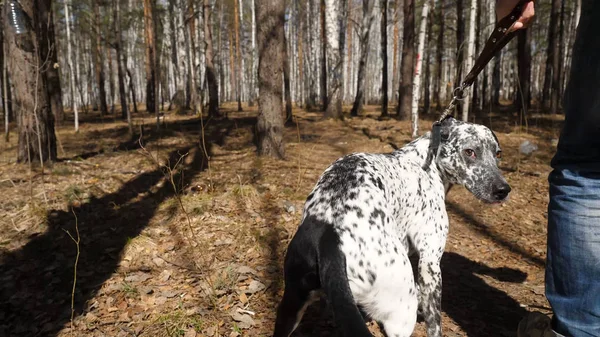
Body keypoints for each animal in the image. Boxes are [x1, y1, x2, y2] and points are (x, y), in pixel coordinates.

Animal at [272, 116, 510, 336]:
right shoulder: (430, 263)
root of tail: (329, 233)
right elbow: (435, 322)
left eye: (498, 154)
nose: (503, 190)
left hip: (291, 306)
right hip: (401, 313)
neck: (426, 161)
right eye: (470, 152)